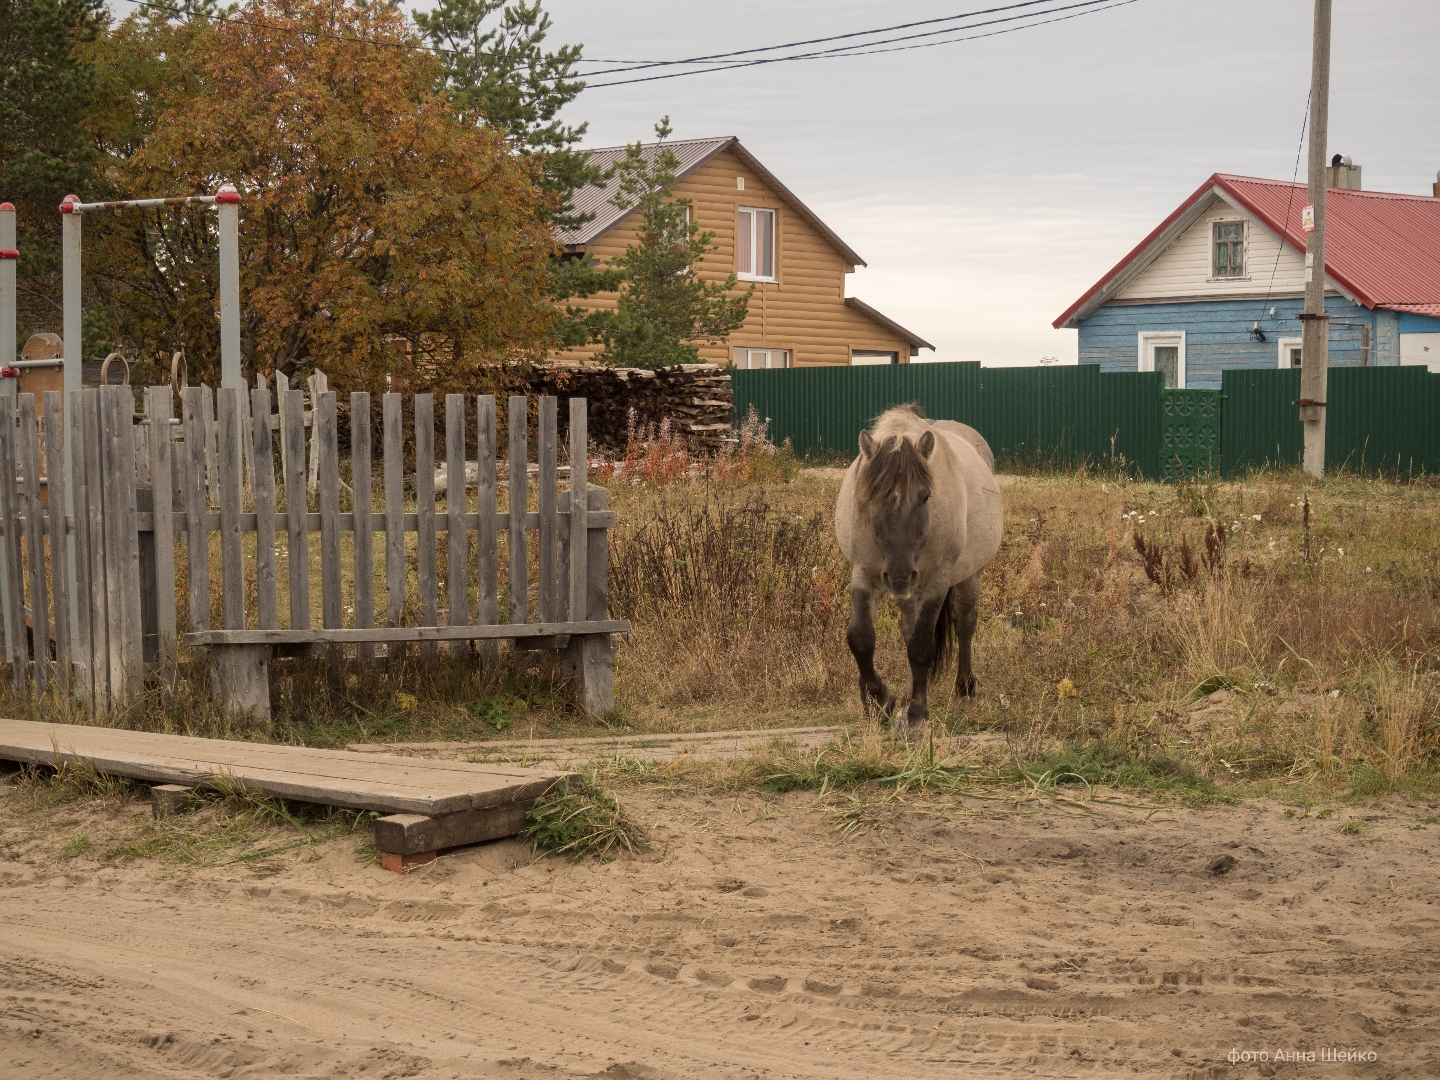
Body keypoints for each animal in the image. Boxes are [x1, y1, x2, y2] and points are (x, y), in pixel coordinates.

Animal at [835, 406, 1002, 737]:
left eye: (925, 497)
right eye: (869, 497)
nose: (900, 576)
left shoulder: (936, 579)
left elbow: (922, 646)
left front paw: (917, 714)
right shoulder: (864, 572)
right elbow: (861, 638)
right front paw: (880, 702)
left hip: (967, 576)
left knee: (965, 624)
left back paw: (964, 687)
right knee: (908, 630)